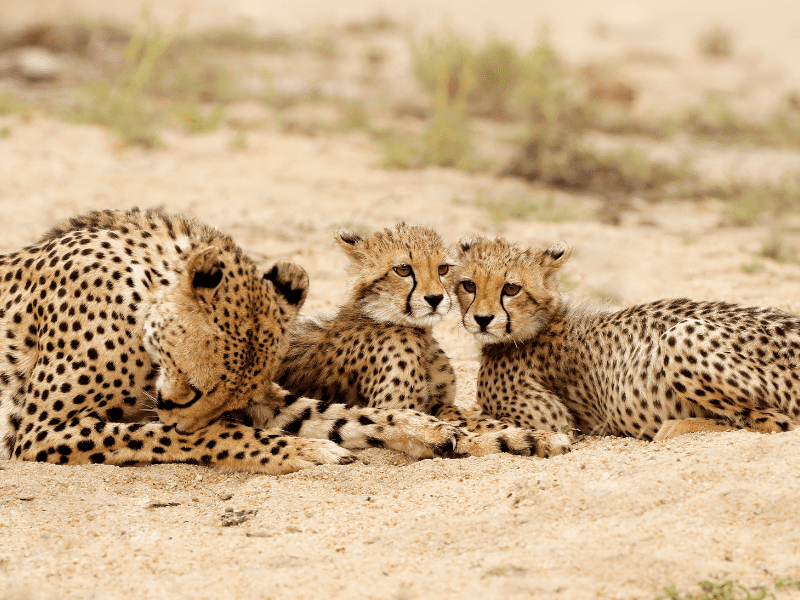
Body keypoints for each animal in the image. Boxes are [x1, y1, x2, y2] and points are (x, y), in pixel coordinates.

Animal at [0, 207, 460, 474]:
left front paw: (428, 429)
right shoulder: (40, 430)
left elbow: (349, 415)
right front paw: (303, 450)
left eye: (239, 398)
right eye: (194, 388)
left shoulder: (269, 398)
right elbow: (202, 434)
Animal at [272, 223, 572, 458]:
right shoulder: (394, 409)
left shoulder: (437, 403)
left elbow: (464, 416)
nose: (435, 298)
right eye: (403, 270)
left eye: (443, 269)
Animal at [456, 234, 800, 440]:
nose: (482, 320)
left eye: (511, 288)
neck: (539, 324)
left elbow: (467, 417)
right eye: (469, 285)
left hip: (679, 335)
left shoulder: (554, 421)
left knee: (777, 422)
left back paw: (674, 428)